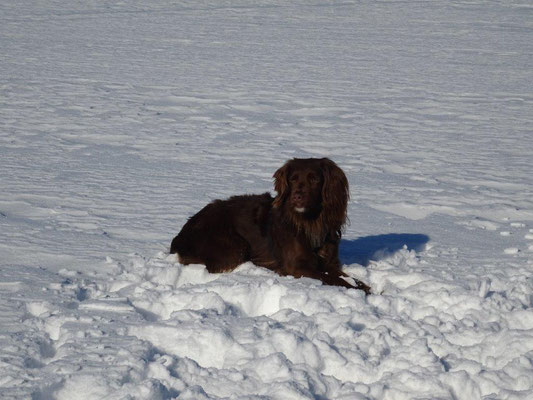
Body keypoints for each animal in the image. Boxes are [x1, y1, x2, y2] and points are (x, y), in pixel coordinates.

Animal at [170, 157, 370, 294]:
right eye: (293, 179)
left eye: (314, 179)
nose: (297, 196)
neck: (310, 222)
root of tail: (182, 233)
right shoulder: (297, 266)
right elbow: (331, 278)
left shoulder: (329, 261)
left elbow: (345, 276)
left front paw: (364, 286)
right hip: (234, 245)